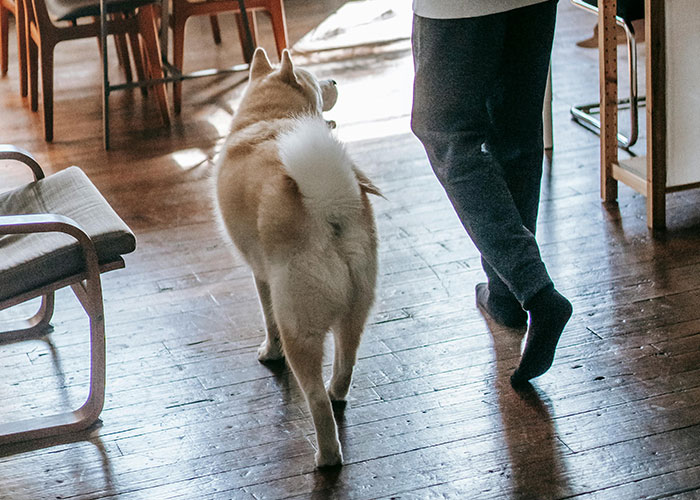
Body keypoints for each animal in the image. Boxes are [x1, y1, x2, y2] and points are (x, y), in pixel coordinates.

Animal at [216, 48, 380, 466]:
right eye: (316, 80)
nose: (334, 81)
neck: (269, 116)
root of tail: (329, 210)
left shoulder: (261, 277)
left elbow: (268, 320)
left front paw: (269, 353)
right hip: (355, 312)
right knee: (345, 364)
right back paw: (337, 394)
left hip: (300, 328)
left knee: (316, 401)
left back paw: (327, 457)